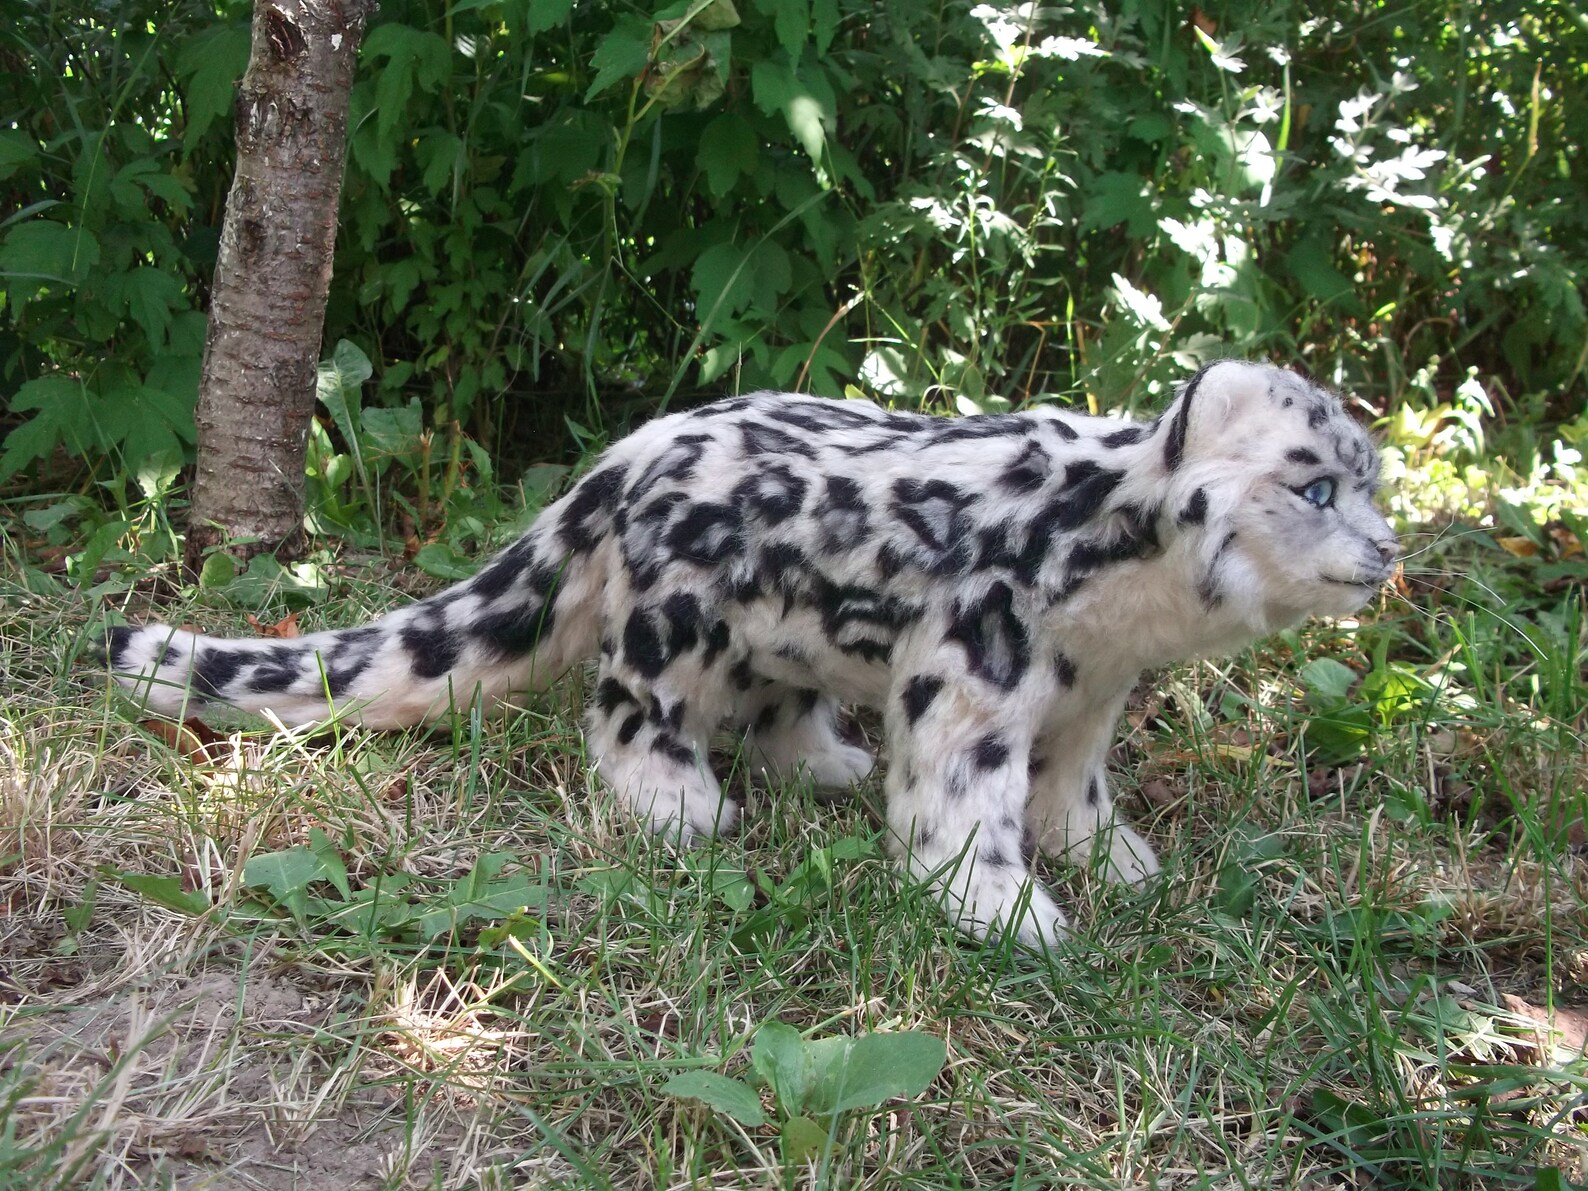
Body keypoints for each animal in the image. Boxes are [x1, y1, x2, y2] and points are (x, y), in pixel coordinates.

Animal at [103, 360, 1399, 948]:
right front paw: (1002, 911)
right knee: (623, 712)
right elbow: (963, 806)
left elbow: (1072, 787)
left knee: (775, 713)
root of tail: (627, 452)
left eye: (1372, 481)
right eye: (1313, 485)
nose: (1388, 551)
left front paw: (1112, 861)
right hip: (666, 636)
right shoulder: (969, 682)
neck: (1120, 621)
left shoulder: (1089, 698)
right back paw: (681, 804)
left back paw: (823, 764)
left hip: (780, 645)